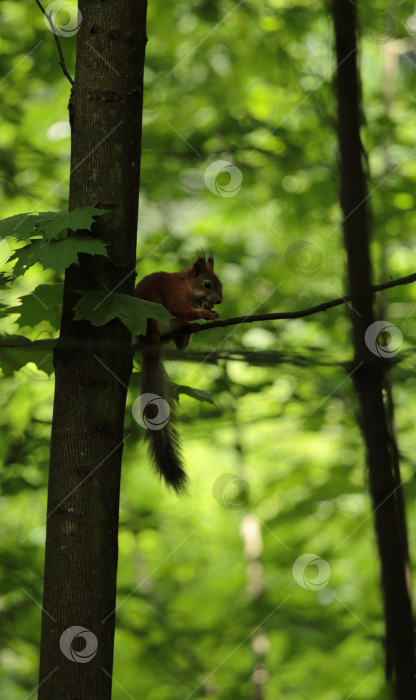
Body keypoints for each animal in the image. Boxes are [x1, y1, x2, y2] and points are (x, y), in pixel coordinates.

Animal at [134, 256, 223, 492]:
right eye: (207, 284)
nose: (219, 301)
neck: (186, 286)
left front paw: (201, 316)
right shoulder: (172, 293)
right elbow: (177, 307)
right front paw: (203, 313)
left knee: (180, 341)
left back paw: (188, 331)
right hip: (151, 317)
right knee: (155, 327)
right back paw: (154, 336)